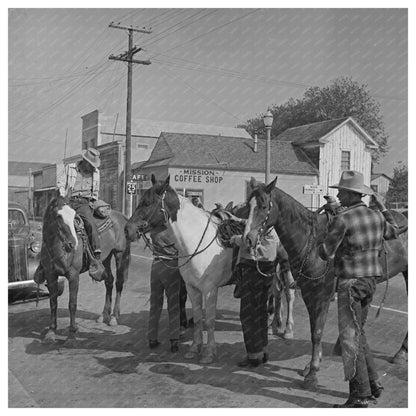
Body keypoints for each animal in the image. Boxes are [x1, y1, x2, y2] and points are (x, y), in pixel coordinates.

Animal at [39, 197, 130, 346]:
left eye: (73, 217)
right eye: (58, 216)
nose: (73, 243)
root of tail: (122, 217)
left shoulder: (73, 276)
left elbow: (72, 304)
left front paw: (71, 336)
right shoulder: (51, 276)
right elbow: (53, 303)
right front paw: (51, 333)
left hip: (120, 254)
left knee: (119, 283)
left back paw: (113, 317)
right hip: (106, 257)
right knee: (109, 281)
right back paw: (103, 315)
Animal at [124, 174, 237, 362]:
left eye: (147, 202)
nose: (128, 230)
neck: (197, 240)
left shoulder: (210, 289)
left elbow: (209, 320)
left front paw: (209, 352)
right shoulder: (192, 287)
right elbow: (198, 318)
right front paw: (194, 348)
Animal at [242, 177, 408, 388]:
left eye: (263, 206)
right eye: (247, 206)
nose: (248, 239)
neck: (312, 242)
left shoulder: (321, 294)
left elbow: (317, 332)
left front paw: (312, 372)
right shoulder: (309, 292)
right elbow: (315, 328)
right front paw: (312, 364)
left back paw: (401, 353)